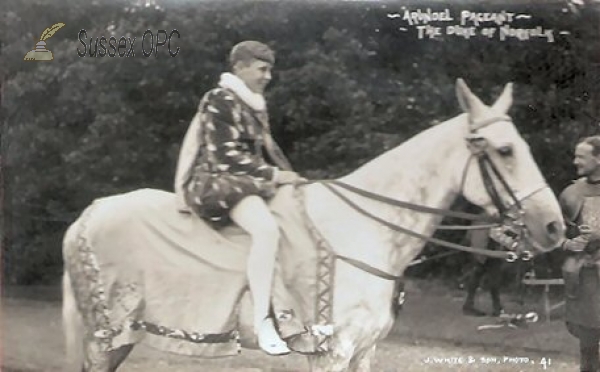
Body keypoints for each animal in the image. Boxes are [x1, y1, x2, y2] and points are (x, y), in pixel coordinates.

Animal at [63, 80, 564, 370]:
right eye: (504, 150)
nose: (555, 227)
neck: (364, 232)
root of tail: (87, 215)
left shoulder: (365, 350)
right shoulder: (332, 352)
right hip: (106, 337)